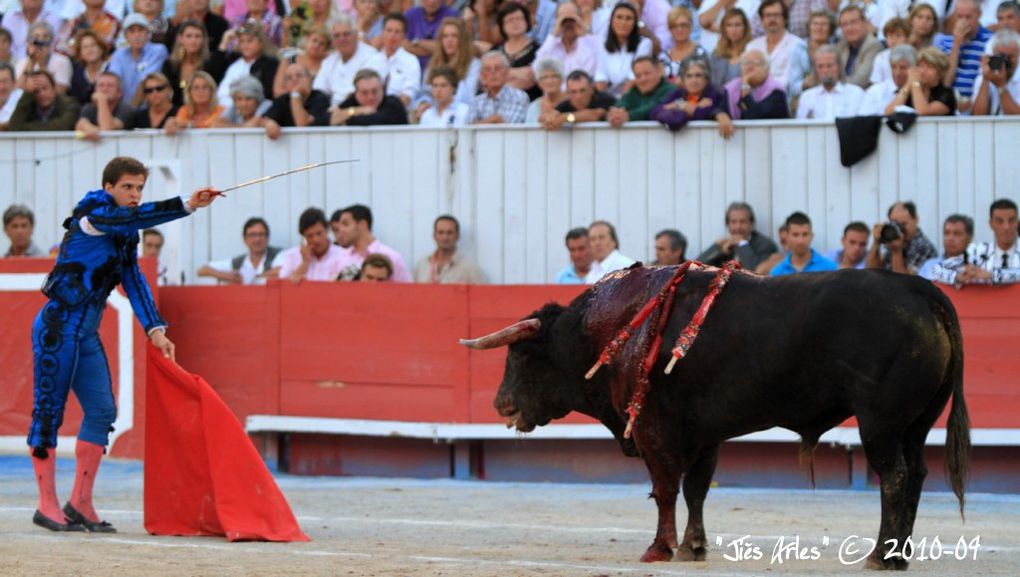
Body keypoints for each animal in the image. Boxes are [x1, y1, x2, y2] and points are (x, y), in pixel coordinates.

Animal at [459, 265, 966, 570]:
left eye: (522, 355)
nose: (501, 405)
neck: (615, 327)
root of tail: (918, 288)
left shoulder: (653, 430)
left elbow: (665, 488)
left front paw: (659, 548)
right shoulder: (704, 436)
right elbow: (696, 489)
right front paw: (693, 547)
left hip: (879, 423)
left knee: (893, 476)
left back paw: (881, 555)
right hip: (916, 424)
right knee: (917, 473)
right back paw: (901, 555)